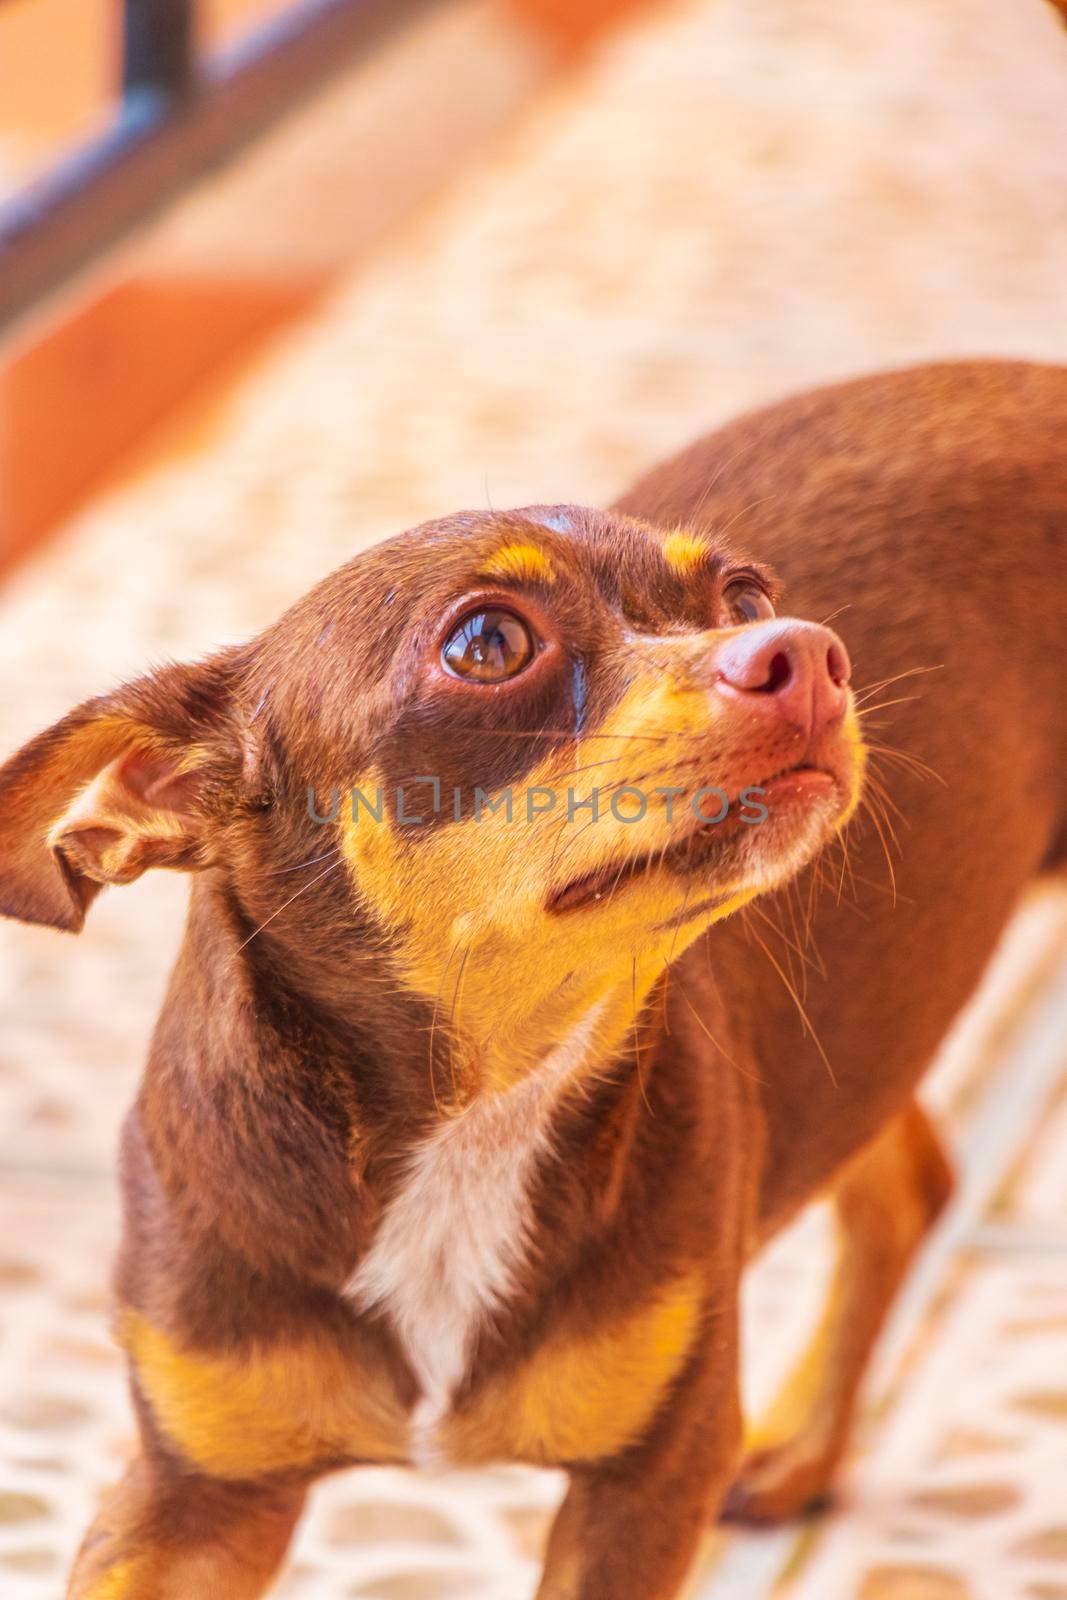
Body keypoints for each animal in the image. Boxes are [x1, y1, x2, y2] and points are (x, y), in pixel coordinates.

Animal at [0, 363, 1062, 1600]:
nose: (804, 648)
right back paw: (802, 1448)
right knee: (905, 1182)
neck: (478, 1114)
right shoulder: (190, 1494)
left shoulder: (645, 1483)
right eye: (486, 643)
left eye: (743, 595)